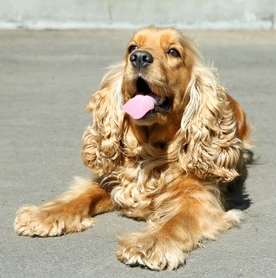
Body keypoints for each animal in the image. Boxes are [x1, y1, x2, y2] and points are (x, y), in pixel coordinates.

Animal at [15, 27, 252, 270]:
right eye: (132, 48)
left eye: (173, 51)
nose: (139, 57)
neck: (151, 150)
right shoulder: (108, 179)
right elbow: (79, 197)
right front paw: (43, 215)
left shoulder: (200, 198)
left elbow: (176, 222)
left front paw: (149, 244)